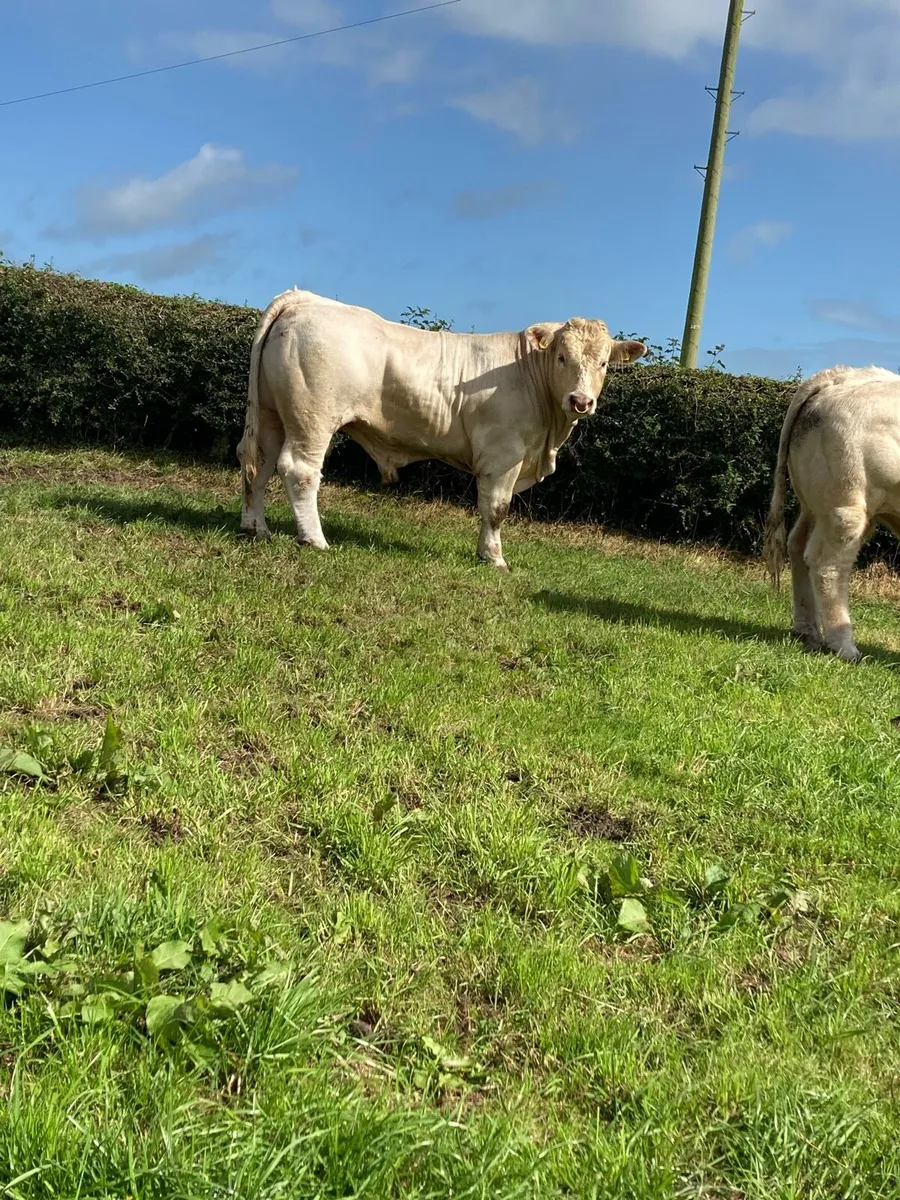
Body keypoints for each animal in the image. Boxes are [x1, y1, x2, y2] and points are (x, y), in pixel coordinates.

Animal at [237, 289, 646, 569]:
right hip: (313, 418)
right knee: (299, 470)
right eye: (562, 357)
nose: (580, 401)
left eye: (604, 363)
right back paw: (315, 539)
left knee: (257, 463)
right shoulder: (503, 454)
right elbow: (496, 507)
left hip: (273, 414)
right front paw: (494, 558)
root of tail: (304, 299)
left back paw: (256, 528)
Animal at [764, 364, 900, 661]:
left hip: (816, 504)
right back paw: (844, 646)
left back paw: (808, 632)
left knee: (797, 544)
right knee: (827, 565)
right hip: (848, 504)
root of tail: (838, 377)